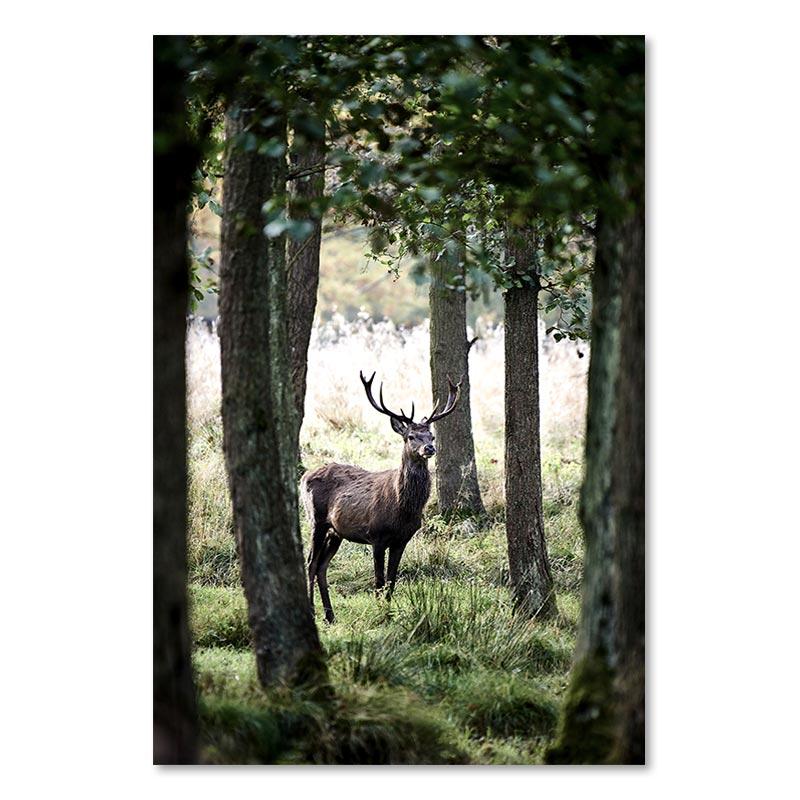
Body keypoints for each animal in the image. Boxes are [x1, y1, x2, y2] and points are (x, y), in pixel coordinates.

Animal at [300, 370, 462, 623]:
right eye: (411, 436)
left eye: (431, 436)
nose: (429, 449)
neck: (402, 510)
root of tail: (304, 476)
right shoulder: (376, 536)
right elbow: (378, 581)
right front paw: (380, 615)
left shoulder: (402, 540)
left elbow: (392, 581)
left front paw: (389, 613)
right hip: (316, 520)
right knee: (310, 563)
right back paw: (314, 611)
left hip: (336, 531)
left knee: (322, 566)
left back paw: (330, 616)